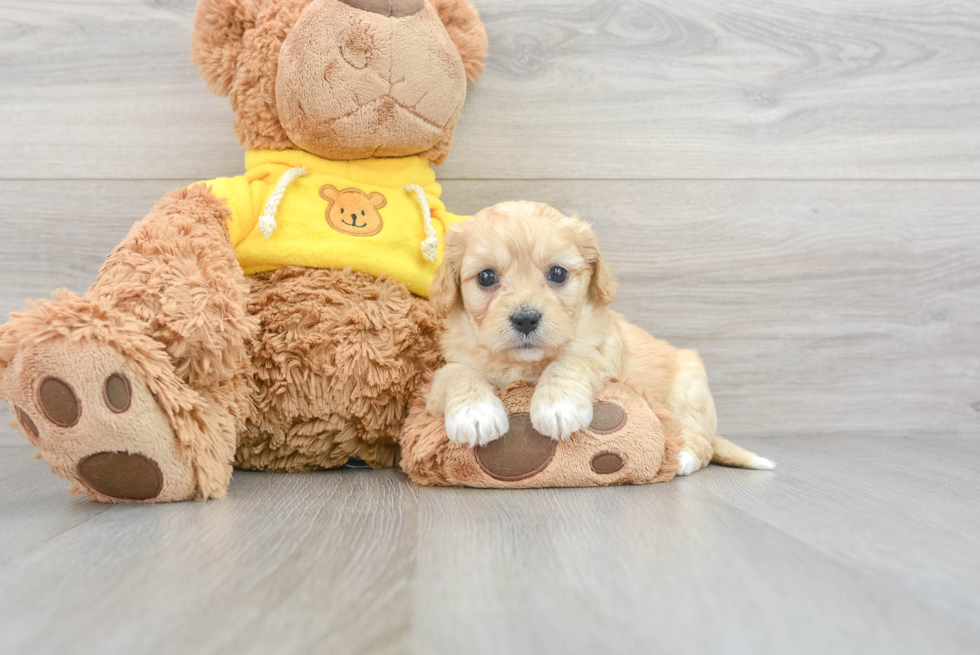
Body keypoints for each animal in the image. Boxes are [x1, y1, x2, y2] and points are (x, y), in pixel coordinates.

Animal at [426, 200, 772, 476]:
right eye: (486, 277)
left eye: (558, 273)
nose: (526, 318)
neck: (525, 363)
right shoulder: (453, 364)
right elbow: (455, 374)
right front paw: (475, 414)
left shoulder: (600, 354)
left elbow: (570, 361)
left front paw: (557, 407)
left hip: (690, 389)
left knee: (700, 441)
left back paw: (682, 459)